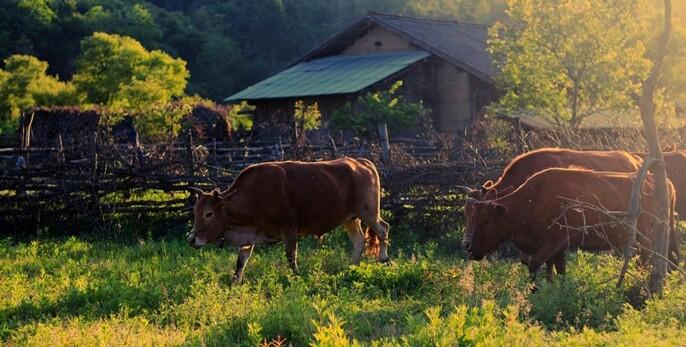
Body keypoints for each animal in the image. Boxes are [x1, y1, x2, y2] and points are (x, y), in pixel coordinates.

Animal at [188, 159, 392, 284]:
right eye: (195, 212)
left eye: (208, 214)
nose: (191, 239)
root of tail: (362, 162)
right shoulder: (249, 236)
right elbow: (241, 262)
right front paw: (235, 282)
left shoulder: (289, 230)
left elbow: (291, 256)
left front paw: (297, 276)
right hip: (350, 219)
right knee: (359, 241)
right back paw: (351, 265)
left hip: (368, 212)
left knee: (383, 229)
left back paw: (383, 257)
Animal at [464, 167, 680, 278]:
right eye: (469, 217)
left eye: (485, 220)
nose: (467, 247)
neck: (534, 198)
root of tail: (666, 184)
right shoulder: (555, 250)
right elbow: (556, 270)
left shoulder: (554, 243)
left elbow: (535, 266)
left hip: (646, 239)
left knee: (646, 260)